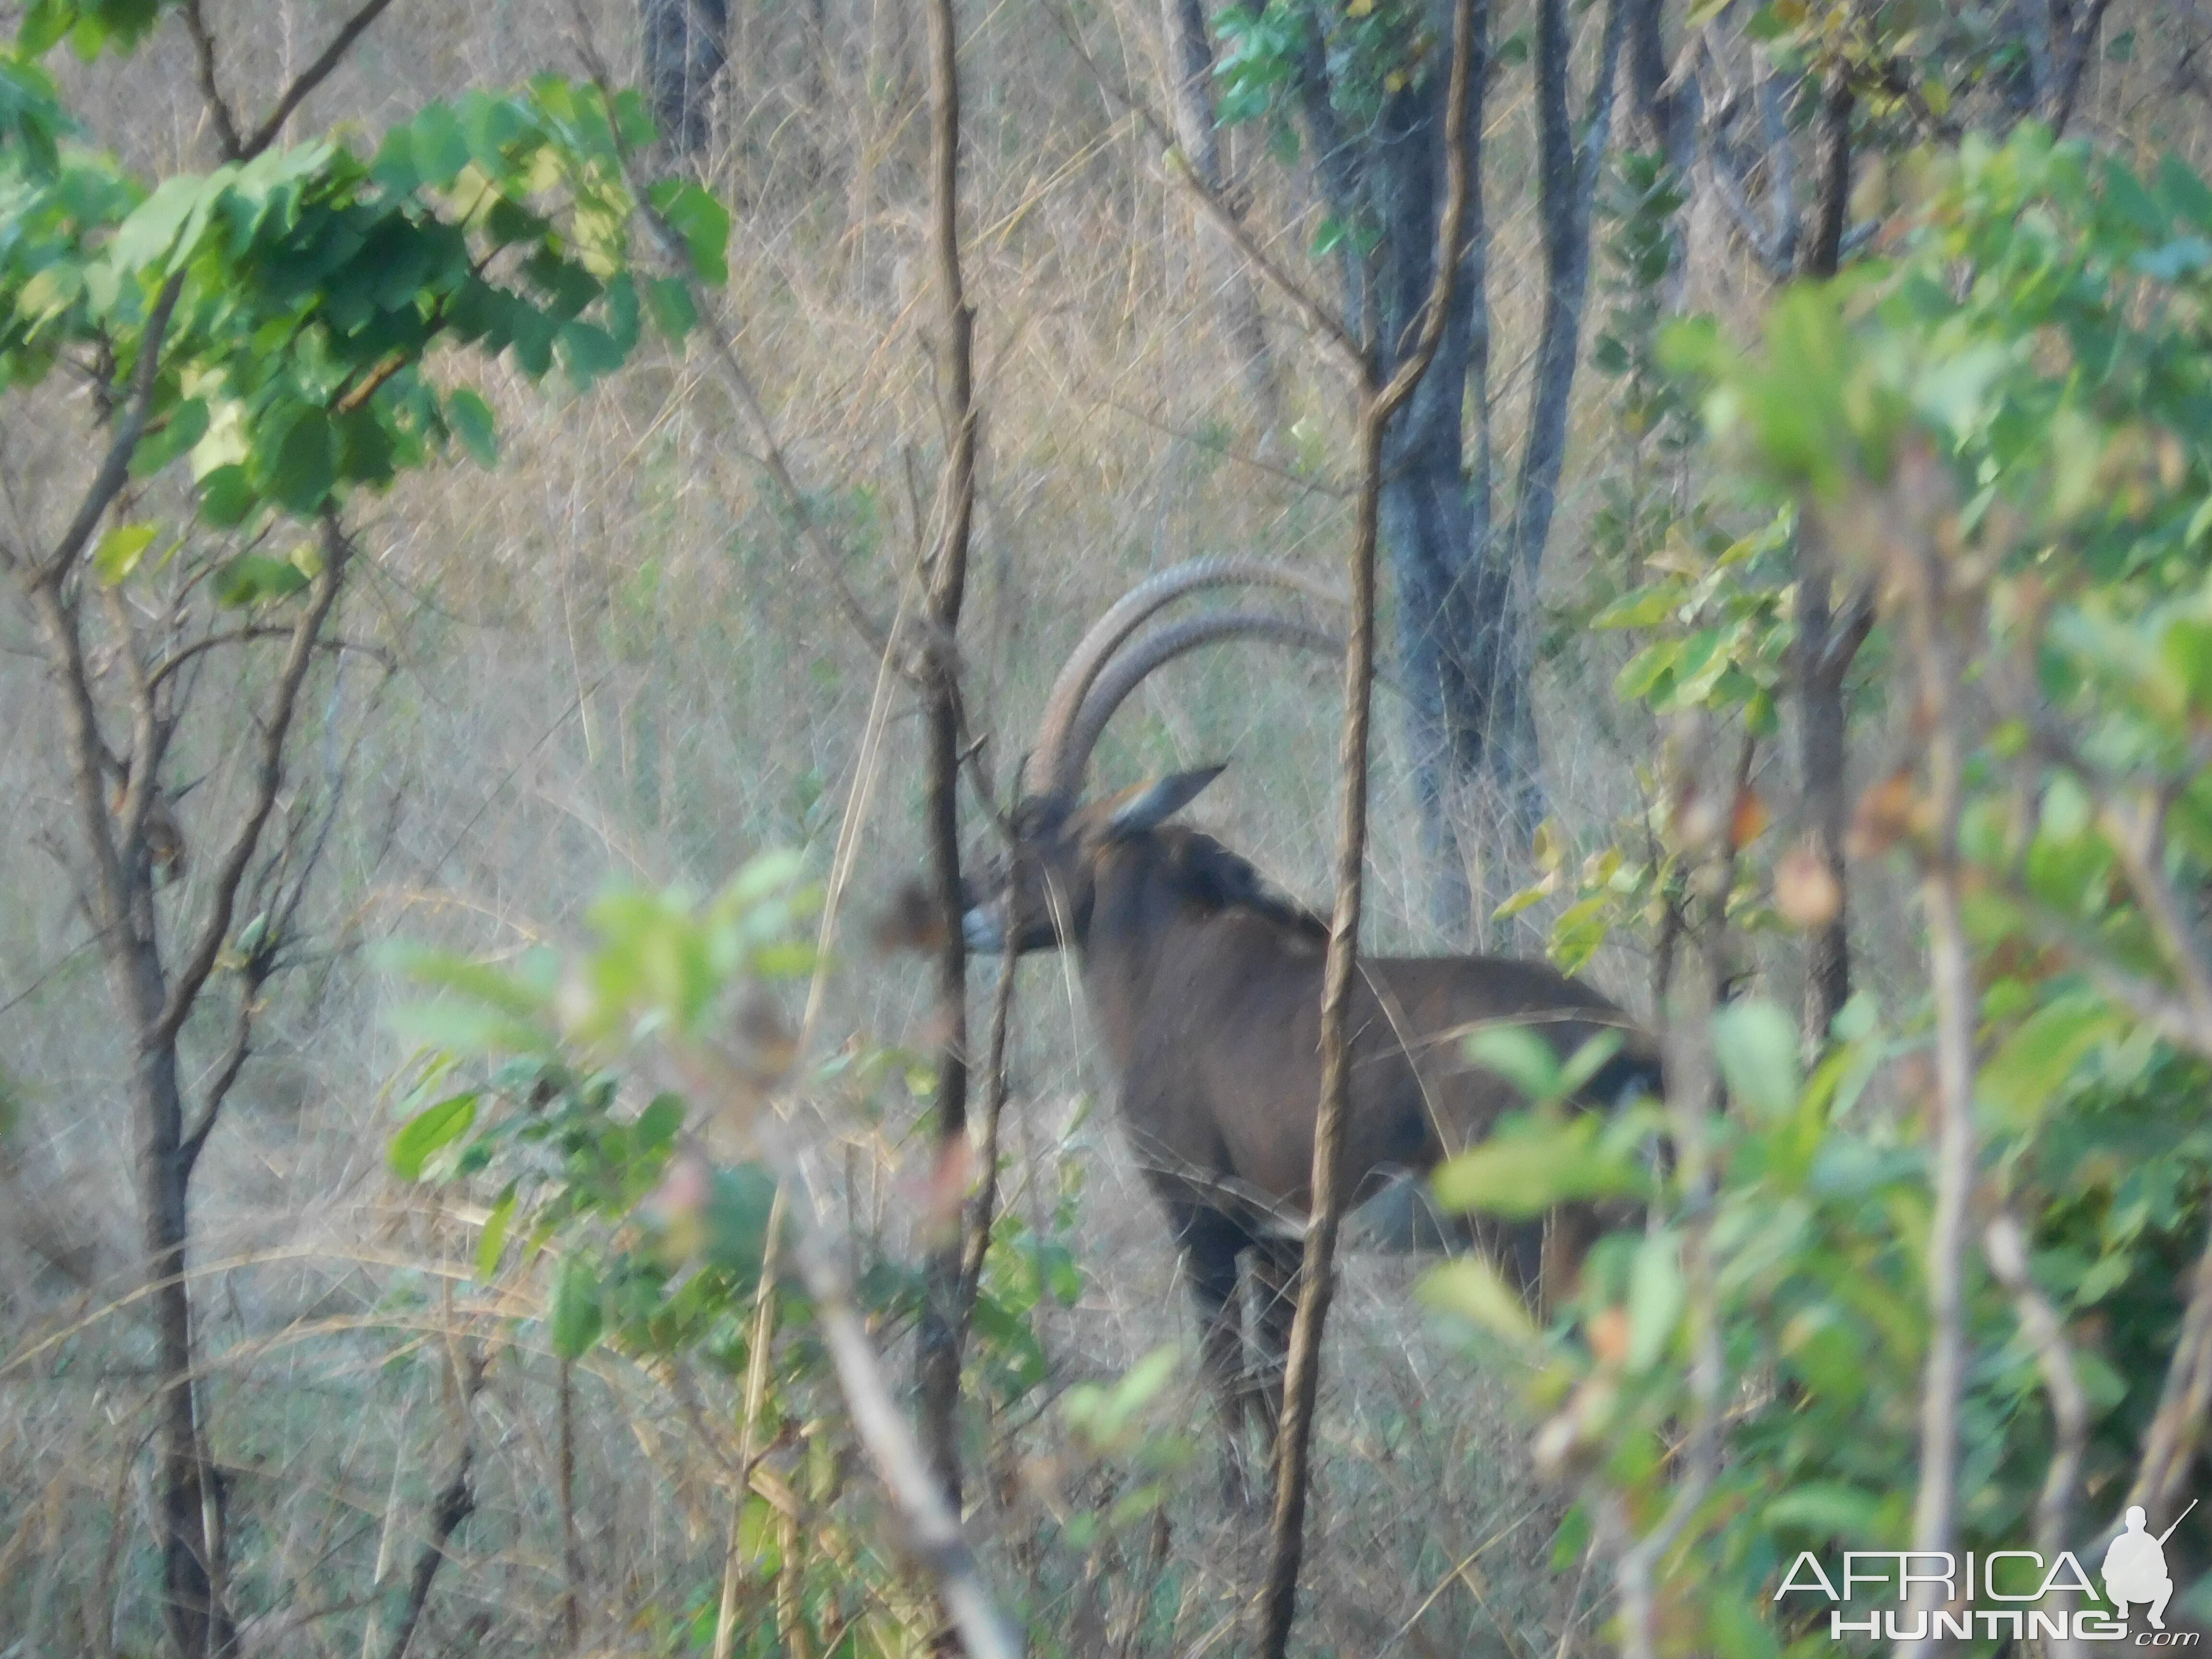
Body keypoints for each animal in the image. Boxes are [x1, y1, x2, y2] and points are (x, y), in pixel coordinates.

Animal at [969, 559, 1663, 1504]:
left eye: (1029, 831)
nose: (965, 905)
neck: (1171, 954)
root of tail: (1624, 1044)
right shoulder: (1283, 1241)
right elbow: (1279, 1389)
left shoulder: (1200, 1219)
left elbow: (1230, 1383)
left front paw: (1233, 1513)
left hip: (1535, 1241)